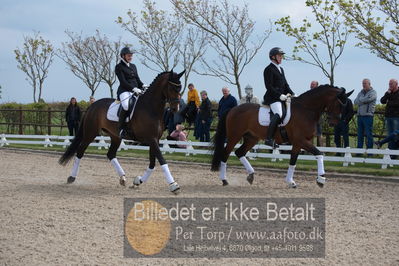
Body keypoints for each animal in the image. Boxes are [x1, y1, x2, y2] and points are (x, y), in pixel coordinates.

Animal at [211, 84, 354, 187]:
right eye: (339, 104)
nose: (333, 123)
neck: (305, 110)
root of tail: (233, 109)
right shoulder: (301, 140)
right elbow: (319, 154)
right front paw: (321, 179)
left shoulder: (298, 143)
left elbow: (293, 161)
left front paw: (291, 181)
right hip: (234, 136)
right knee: (225, 154)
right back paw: (224, 180)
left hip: (251, 138)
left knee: (239, 152)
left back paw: (251, 175)